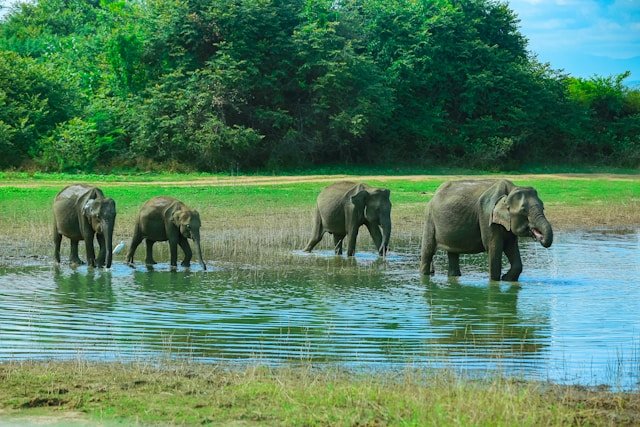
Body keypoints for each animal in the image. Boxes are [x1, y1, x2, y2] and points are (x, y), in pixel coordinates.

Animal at [420, 179, 553, 281]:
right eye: (524, 211)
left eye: (543, 207)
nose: (539, 236)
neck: (511, 190)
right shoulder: (486, 215)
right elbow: (494, 248)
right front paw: (495, 282)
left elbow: (511, 247)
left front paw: (506, 279)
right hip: (429, 218)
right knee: (428, 251)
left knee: (452, 253)